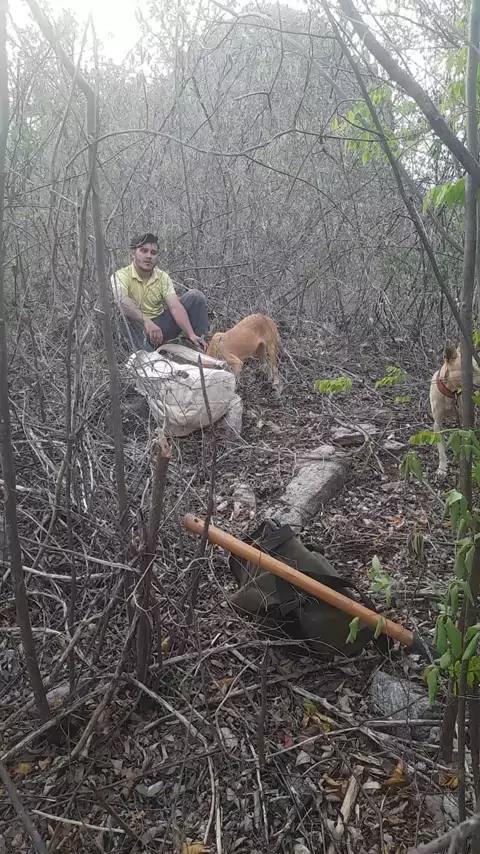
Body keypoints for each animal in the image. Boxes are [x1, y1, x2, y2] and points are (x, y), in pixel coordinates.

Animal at [430, 340, 480, 477]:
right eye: (470, 370)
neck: (450, 393)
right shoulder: (437, 423)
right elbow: (441, 449)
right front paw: (442, 468)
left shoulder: (465, 418)